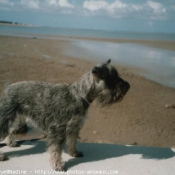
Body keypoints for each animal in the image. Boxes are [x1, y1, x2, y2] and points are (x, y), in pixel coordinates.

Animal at [0, 59, 130, 170]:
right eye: (112, 79)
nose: (128, 86)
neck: (78, 94)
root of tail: (7, 87)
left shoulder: (74, 127)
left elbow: (72, 141)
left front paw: (74, 153)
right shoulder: (58, 130)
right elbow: (56, 150)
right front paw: (57, 165)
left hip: (16, 119)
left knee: (9, 131)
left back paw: (11, 143)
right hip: (7, 118)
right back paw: (2, 156)